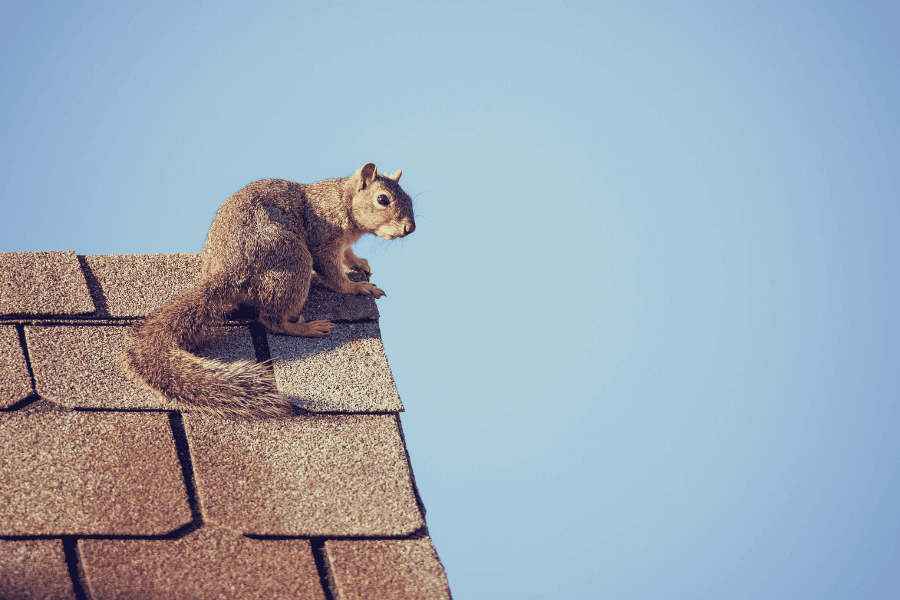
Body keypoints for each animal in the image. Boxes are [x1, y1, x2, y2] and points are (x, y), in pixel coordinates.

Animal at [123, 162, 414, 420]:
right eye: (383, 200)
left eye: (410, 198)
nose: (409, 228)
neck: (341, 200)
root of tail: (227, 272)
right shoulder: (323, 237)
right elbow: (332, 272)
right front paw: (357, 287)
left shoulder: (342, 243)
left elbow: (348, 255)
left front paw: (360, 264)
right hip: (293, 261)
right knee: (271, 320)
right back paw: (306, 328)